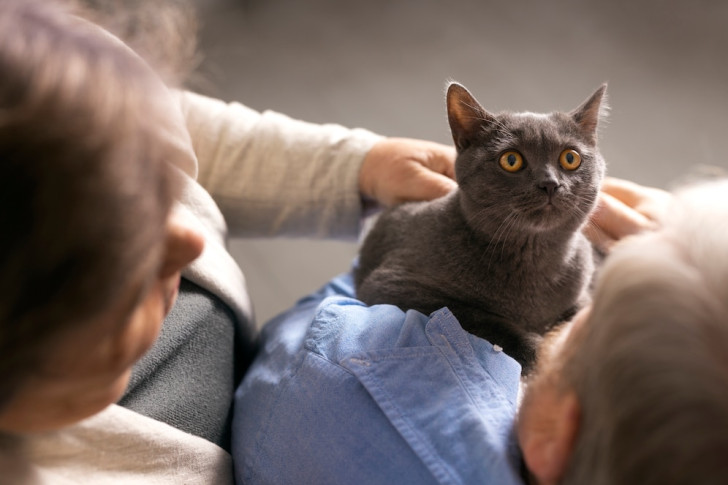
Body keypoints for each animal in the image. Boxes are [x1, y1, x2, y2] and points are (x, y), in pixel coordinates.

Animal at [356, 82, 604, 370]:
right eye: (511, 160)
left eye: (570, 158)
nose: (550, 183)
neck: (534, 259)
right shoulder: (392, 285)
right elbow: (474, 316)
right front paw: (537, 352)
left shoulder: (581, 294)